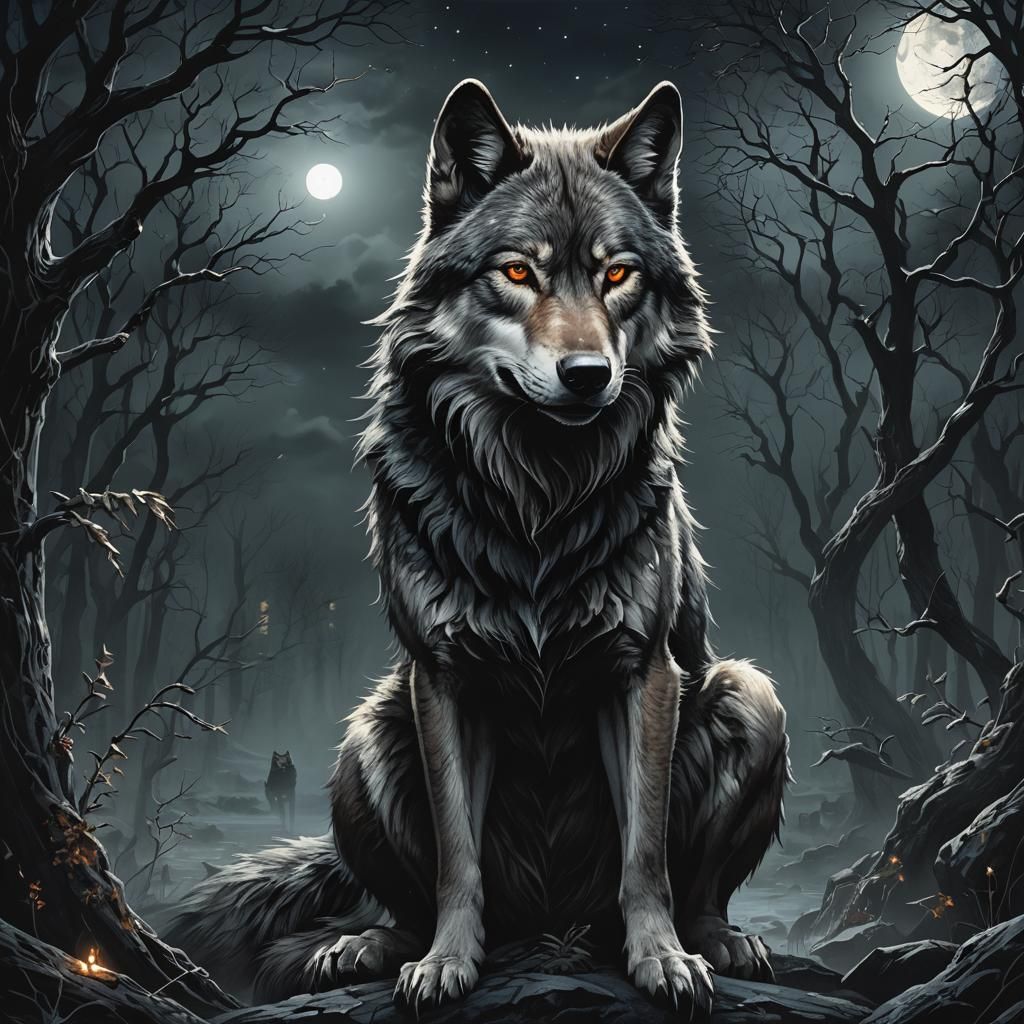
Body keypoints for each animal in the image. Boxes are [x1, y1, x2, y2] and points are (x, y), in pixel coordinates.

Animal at [168, 79, 789, 1016]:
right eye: (518, 272)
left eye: (617, 274)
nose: (587, 377)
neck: (538, 498)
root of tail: (556, 929)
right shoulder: (444, 676)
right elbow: (457, 858)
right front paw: (446, 963)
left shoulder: (642, 673)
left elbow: (646, 855)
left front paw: (662, 960)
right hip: (369, 733)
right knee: (397, 897)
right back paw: (371, 945)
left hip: (751, 693)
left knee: (700, 885)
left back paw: (719, 940)